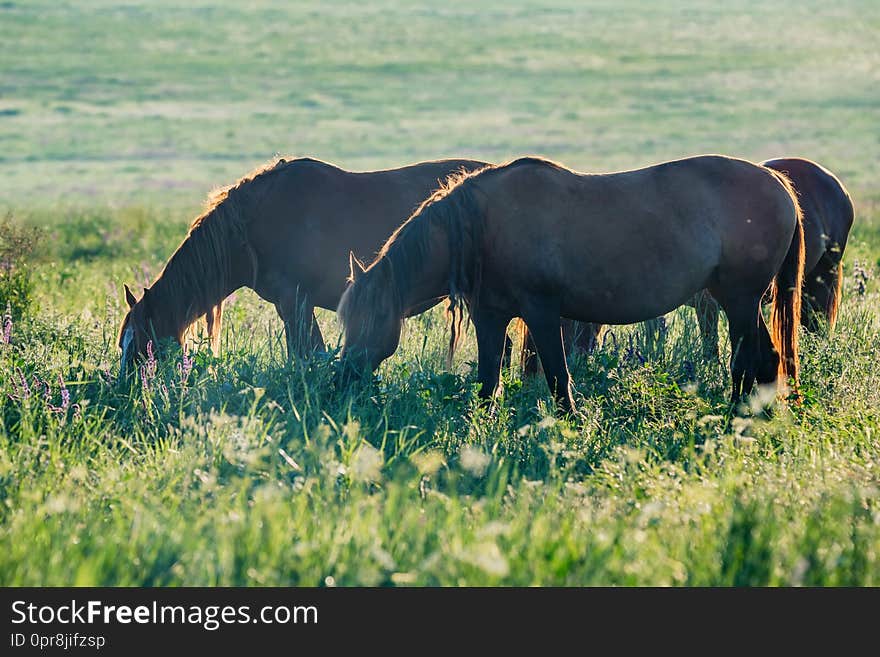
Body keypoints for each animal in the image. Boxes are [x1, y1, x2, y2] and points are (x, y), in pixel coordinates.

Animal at [117, 154, 488, 376]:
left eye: (141, 346)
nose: (125, 391)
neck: (251, 226)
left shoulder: (296, 301)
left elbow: (307, 353)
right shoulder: (291, 305)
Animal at [338, 154, 804, 412]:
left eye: (370, 319)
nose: (342, 378)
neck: (483, 227)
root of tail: (779, 184)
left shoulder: (542, 313)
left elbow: (558, 376)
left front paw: (570, 424)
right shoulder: (490, 317)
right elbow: (488, 381)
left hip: (739, 300)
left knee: (748, 362)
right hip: (739, 301)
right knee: (767, 359)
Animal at [524, 156, 852, 372]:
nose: (577, 361)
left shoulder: (708, 304)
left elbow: (710, 346)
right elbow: (657, 334)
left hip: (822, 279)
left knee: (818, 324)